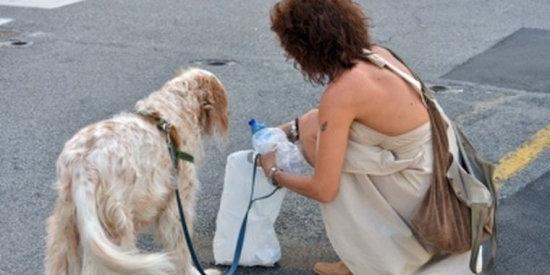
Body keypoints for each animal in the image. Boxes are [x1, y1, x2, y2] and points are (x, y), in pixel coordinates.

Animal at [44, 67, 230, 275]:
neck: (174, 110)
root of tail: (83, 165)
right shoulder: (177, 206)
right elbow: (182, 250)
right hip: (116, 231)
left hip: (65, 229)